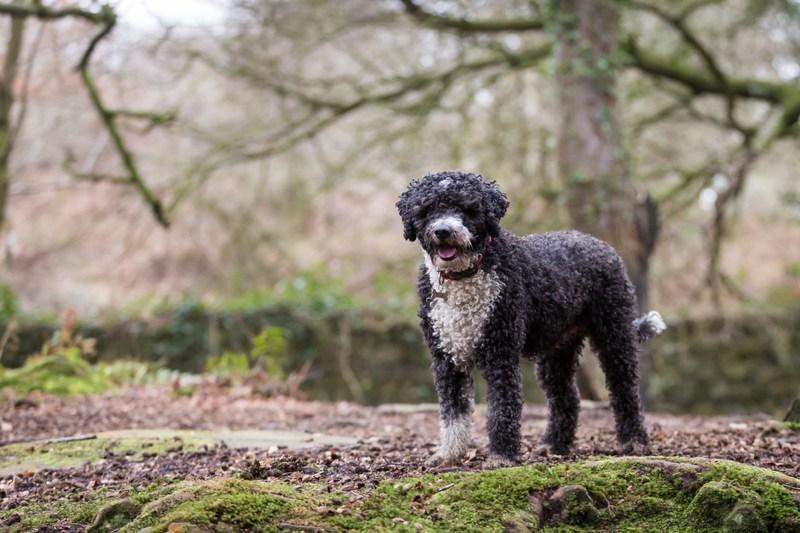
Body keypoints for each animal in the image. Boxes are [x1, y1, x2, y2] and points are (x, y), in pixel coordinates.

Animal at [396, 170, 664, 466]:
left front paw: (501, 455)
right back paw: (554, 444)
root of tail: (599, 244)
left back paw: (634, 441)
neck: (465, 276)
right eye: (427, 209)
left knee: (625, 390)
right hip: (557, 350)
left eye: (467, 208)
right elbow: (453, 412)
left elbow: (502, 407)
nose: (443, 231)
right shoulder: (446, 356)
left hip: (614, 334)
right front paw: (450, 453)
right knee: (567, 397)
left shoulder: (500, 351)